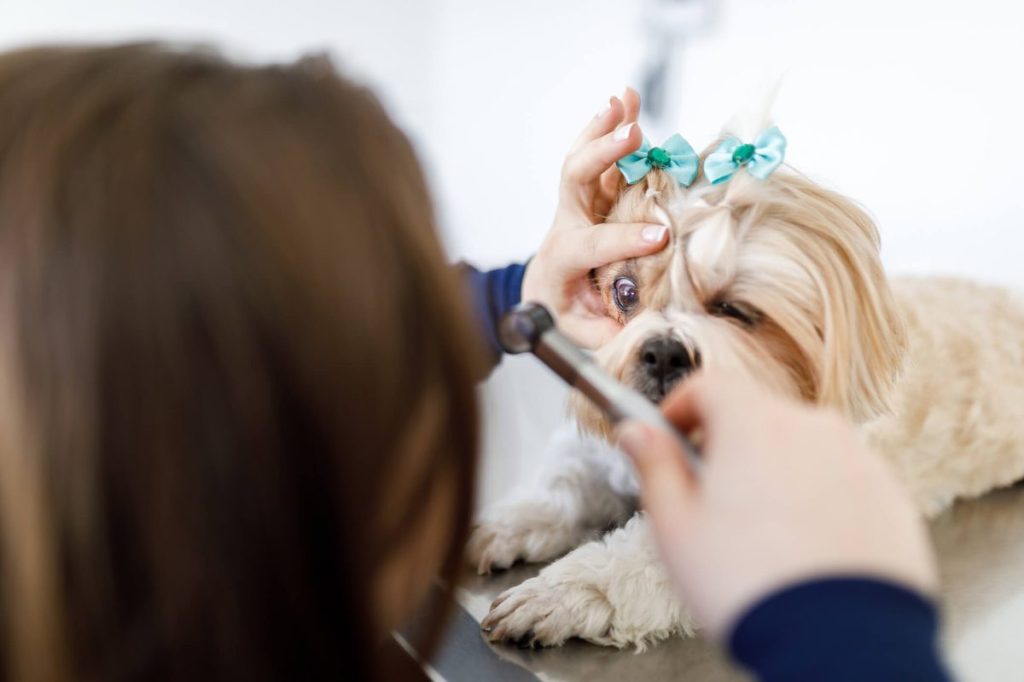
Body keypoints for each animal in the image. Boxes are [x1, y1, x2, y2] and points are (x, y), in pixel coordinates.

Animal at [468, 107, 1024, 647]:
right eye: (625, 291)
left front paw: (564, 592)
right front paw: (510, 522)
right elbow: (564, 487)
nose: (664, 352)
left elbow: (640, 560)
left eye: (731, 309)